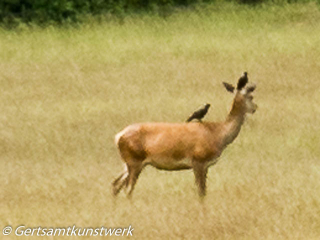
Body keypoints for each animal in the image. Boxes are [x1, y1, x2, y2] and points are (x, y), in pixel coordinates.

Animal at [112, 78, 258, 198]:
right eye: (250, 96)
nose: (255, 108)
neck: (218, 133)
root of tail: (118, 136)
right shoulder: (198, 160)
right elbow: (201, 192)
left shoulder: (205, 165)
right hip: (134, 161)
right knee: (128, 189)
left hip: (128, 163)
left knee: (115, 184)